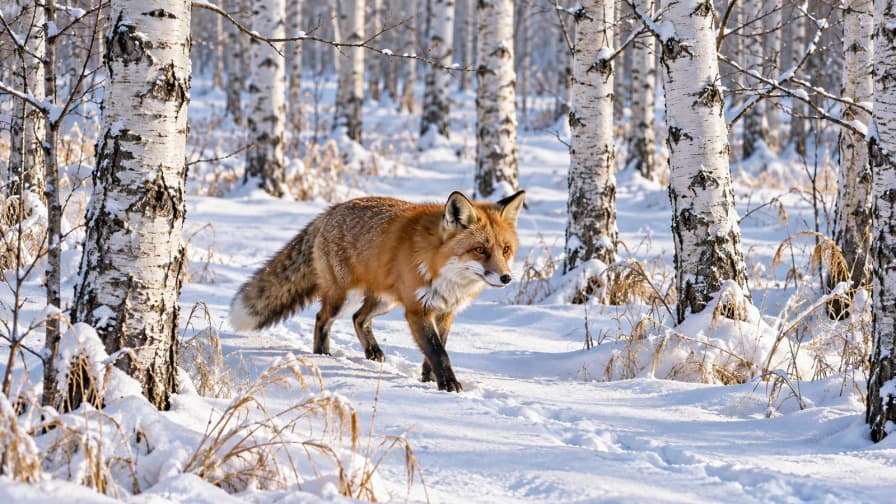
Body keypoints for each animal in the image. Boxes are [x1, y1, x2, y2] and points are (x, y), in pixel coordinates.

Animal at [229, 190, 526, 392]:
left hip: (385, 301)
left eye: (505, 250)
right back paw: (322, 354)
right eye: (480, 250)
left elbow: (435, 350)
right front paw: (448, 385)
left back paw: (372, 351)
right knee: (322, 318)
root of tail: (331, 209)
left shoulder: (445, 312)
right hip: (344, 298)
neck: (442, 270)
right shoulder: (417, 310)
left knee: (358, 319)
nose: (506, 277)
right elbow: (438, 352)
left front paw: (429, 380)